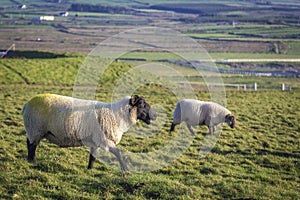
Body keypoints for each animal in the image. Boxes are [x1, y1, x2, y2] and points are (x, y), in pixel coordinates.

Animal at [22, 94, 156, 171]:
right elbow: (118, 152)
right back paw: (32, 161)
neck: (116, 114)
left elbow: (93, 157)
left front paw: (89, 169)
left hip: (34, 130)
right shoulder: (104, 139)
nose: (155, 115)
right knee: (31, 146)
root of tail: (26, 105)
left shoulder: (95, 142)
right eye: (141, 103)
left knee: (30, 144)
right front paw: (125, 170)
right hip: (35, 129)